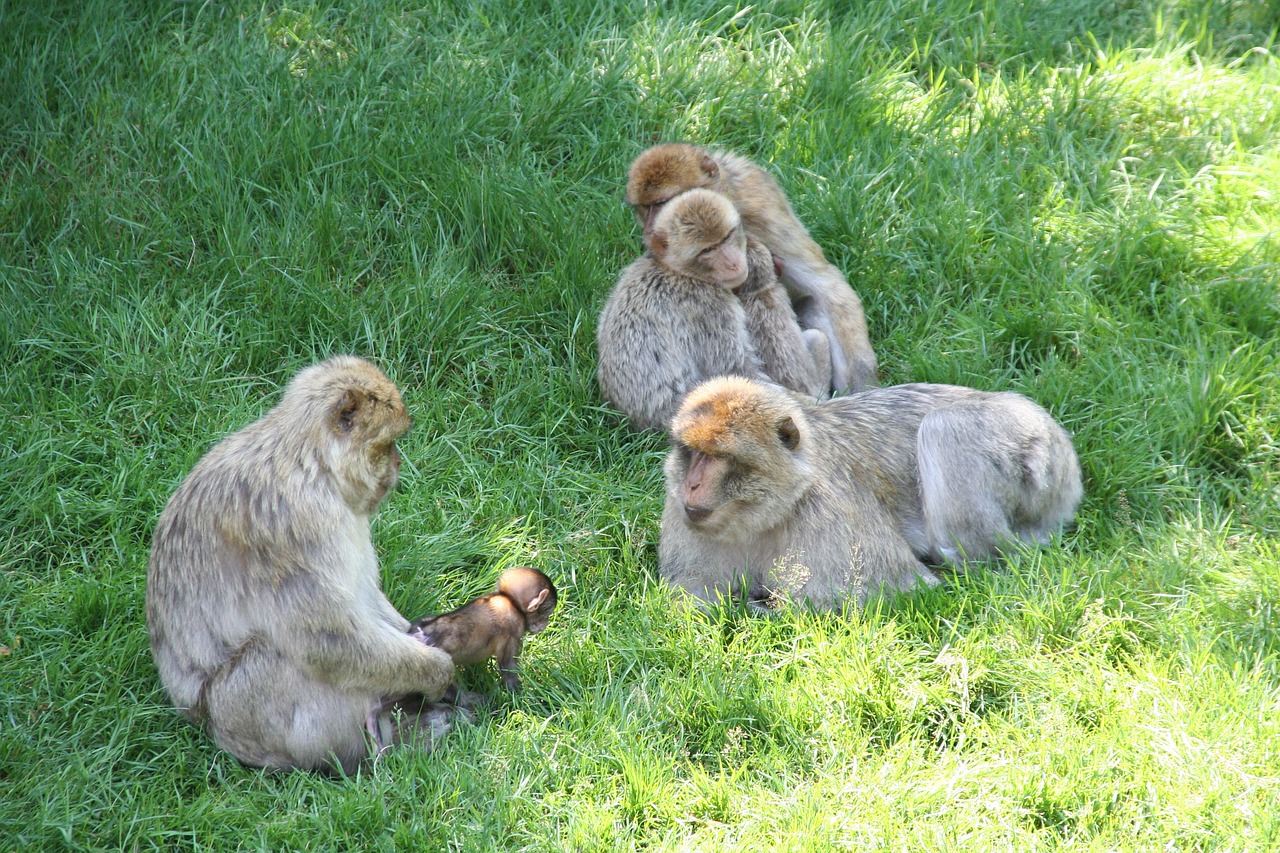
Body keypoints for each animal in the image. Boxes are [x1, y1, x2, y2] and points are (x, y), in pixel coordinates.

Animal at [147, 350, 463, 768]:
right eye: (389, 444)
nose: (397, 465)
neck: (311, 463)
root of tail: (211, 732)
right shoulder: (298, 523)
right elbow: (327, 641)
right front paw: (438, 671)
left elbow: (363, 599)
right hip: (247, 713)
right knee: (277, 654)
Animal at [596, 185, 829, 425]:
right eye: (707, 250)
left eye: (727, 237)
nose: (733, 263)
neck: (680, 272)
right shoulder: (709, 306)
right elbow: (736, 370)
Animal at [622, 140, 880, 394]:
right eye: (645, 208)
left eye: (662, 203)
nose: (650, 231)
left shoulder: (762, 216)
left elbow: (827, 288)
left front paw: (864, 385)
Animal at [660, 376, 1080, 607]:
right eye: (693, 452)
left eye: (720, 456)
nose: (693, 484)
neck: (770, 512)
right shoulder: (682, 515)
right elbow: (687, 596)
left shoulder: (831, 516)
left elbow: (901, 588)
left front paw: (758, 607)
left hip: (1028, 447)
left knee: (945, 427)